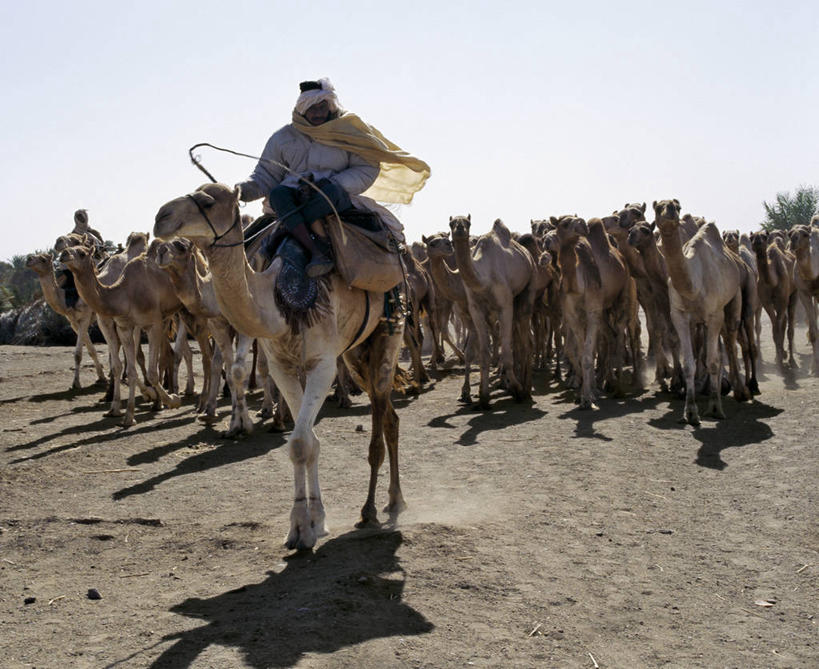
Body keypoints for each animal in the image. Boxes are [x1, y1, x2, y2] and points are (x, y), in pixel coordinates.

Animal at [25, 252, 107, 388]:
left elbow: (78, 354)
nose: (28, 259)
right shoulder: (73, 322)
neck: (66, 298)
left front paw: (76, 383)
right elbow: (91, 350)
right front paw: (101, 377)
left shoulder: (85, 317)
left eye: (43, 259)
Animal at [58, 245, 183, 428]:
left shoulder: (153, 323)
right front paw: (126, 415)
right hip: (170, 315)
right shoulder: (124, 327)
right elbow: (127, 369)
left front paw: (172, 400)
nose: (64, 254)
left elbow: (150, 372)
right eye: (67, 248)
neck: (125, 293)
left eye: (82, 253)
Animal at [153, 183, 406, 548]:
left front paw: (302, 528)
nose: (161, 218)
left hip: (388, 334)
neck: (276, 298)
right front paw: (313, 520)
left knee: (381, 421)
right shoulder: (282, 364)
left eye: (208, 201)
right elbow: (308, 441)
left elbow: (300, 441)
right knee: (389, 415)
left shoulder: (321, 365)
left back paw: (378, 507)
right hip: (356, 353)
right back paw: (389, 500)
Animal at [448, 217, 540, 410]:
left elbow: (506, 350)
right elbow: (484, 352)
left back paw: (526, 389)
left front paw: (516, 389)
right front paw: (483, 397)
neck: (483, 280)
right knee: (522, 341)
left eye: (467, 222)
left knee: (526, 339)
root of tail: (528, 255)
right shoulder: (475, 309)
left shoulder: (504, 305)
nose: (459, 228)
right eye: (451, 223)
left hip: (530, 284)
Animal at [652, 200, 748, 428]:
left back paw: (737, 393)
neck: (693, 285)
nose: (669, 211)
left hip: (732, 303)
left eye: (676, 205)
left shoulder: (714, 314)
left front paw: (715, 408)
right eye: (657, 207)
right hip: (699, 322)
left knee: (729, 342)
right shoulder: (679, 315)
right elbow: (689, 364)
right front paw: (690, 413)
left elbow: (713, 361)